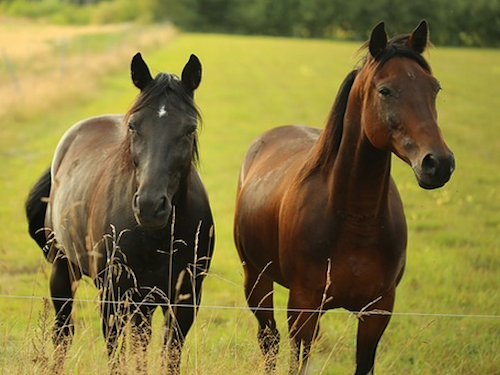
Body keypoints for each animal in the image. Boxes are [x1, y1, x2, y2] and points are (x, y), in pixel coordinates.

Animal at [25, 53, 213, 375]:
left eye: (189, 128)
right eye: (133, 126)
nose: (150, 206)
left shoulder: (185, 298)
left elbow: (167, 354)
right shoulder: (113, 293)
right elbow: (116, 352)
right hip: (64, 268)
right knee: (63, 332)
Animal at [232, 21, 456, 375]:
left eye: (434, 88)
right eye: (385, 90)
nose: (439, 163)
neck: (356, 220)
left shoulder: (377, 312)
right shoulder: (303, 308)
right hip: (256, 279)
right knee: (269, 341)